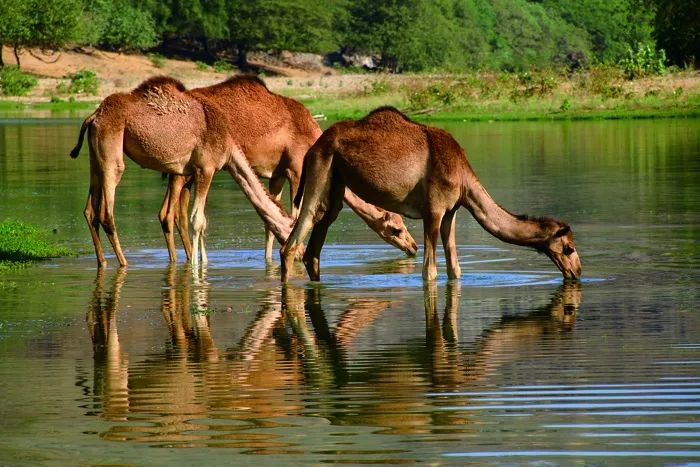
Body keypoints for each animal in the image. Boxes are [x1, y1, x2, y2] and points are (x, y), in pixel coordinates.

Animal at [69, 76, 416, 266]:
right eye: (396, 228)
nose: (413, 247)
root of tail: (93, 115)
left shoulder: (275, 173)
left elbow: (268, 219)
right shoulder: (295, 167)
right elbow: (294, 214)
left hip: (117, 162)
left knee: (100, 210)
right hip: (144, 163)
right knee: (146, 212)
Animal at [282, 107, 584, 282]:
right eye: (568, 247)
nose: (577, 272)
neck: (463, 179)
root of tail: (315, 145)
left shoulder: (451, 212)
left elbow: (455, 270)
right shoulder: (434, 211)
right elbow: (429, 272)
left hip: (337, 183)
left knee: (315, 246)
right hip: (321, 168)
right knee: (295, 240)